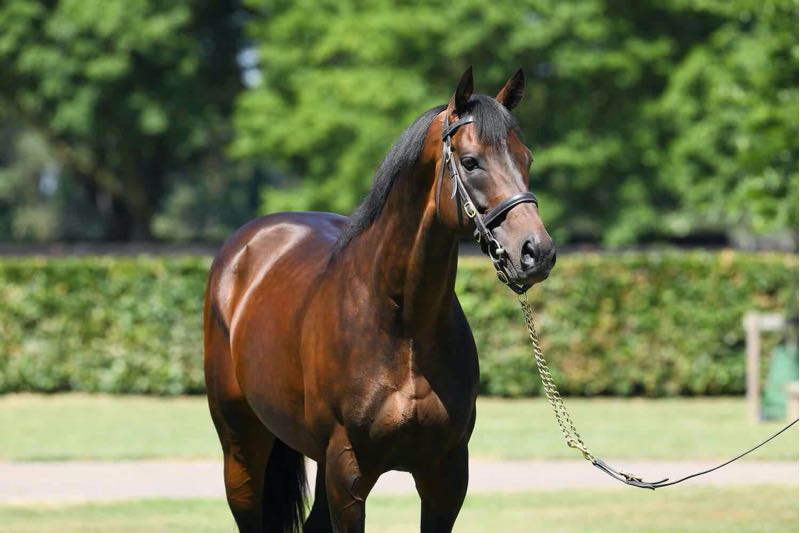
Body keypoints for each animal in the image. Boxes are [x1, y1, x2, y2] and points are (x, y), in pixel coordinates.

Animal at [204, 67, 556, 533]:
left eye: (526, 159)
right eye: (470, 162)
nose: (537, 252)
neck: (403, 327)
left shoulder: (446, 474)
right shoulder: (348, 472)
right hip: (241, 446)